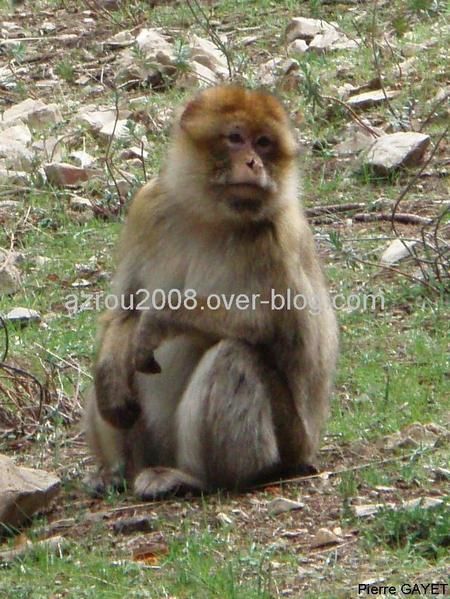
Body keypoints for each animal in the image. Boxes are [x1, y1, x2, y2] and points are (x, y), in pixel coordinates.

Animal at [83, 82, 338, 500]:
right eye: (236, 138)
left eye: (264, 143)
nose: (253, 163)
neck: (210, 215)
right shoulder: (148, 204)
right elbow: (124, 310)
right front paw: (109, 373)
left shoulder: (276, 235)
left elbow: (276, 327)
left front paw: (162, 316)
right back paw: (117, 472)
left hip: (290, 442)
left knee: (235, 354)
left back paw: (199, 478)